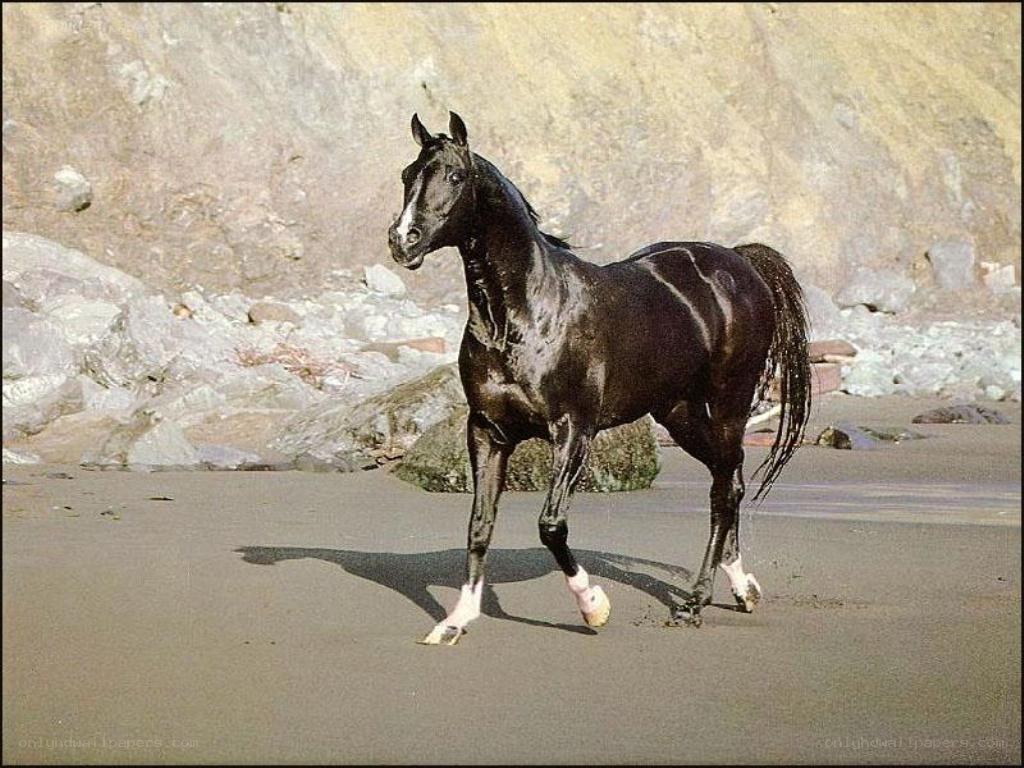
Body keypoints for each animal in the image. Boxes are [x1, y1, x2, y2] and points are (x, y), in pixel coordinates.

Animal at [387, 112, 812, 645]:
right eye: (407, 175)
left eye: (455, 176)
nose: (403, 240)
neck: (524, 315)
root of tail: (739, 262)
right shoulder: (487, 431)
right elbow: (479, 524)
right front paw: (455, 621)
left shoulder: (574, 430)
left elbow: (551, 524)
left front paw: (594, 608)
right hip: (677, 412)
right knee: (728, 476)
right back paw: (743, 588)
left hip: (730, 400)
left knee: (723, 491)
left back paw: (694, 604)